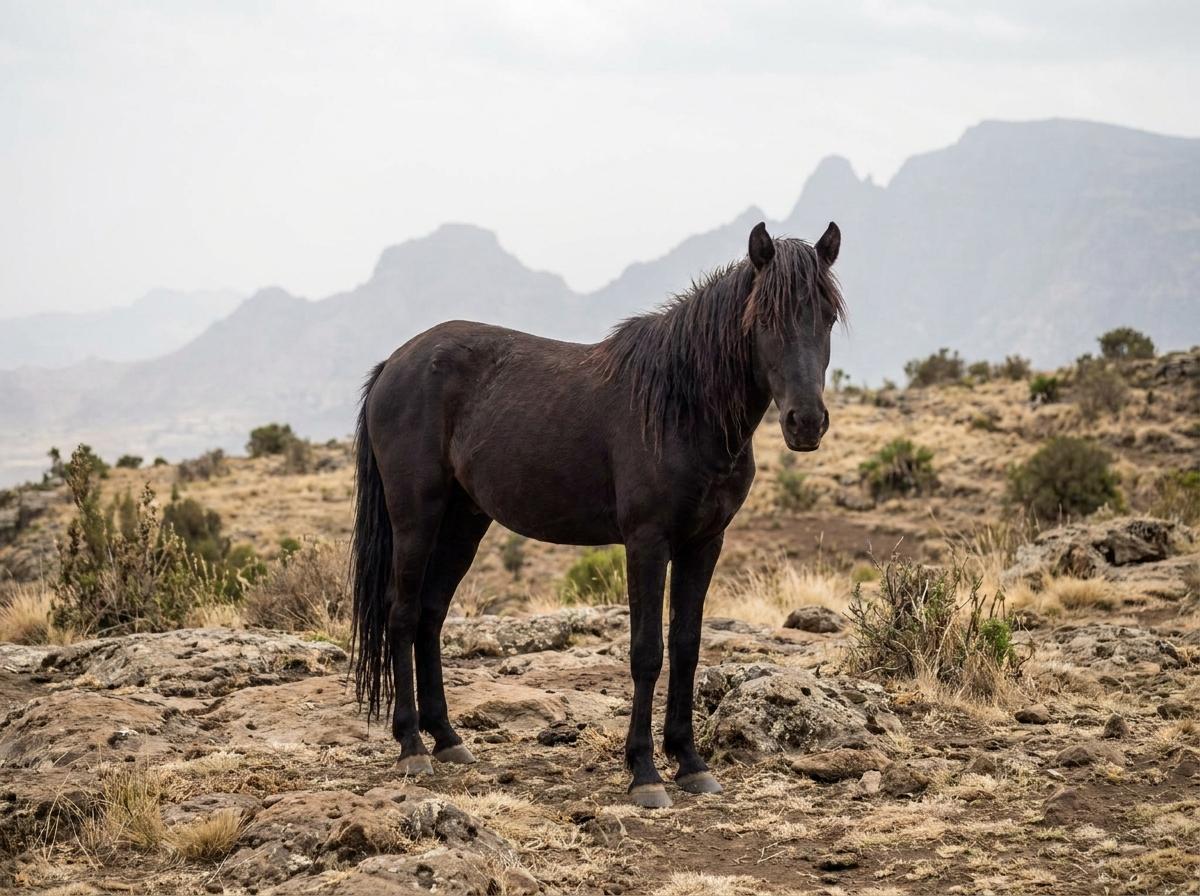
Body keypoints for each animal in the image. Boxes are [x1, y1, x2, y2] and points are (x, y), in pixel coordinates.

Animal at [351, 220, 844, 808]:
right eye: (764, 318)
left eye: (828, 315)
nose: (806, 423)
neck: (682, 406)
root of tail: (393, 364)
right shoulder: (647, 542)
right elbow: (647, 651)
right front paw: (645, 773)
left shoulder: (704, 543)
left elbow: (687, 646)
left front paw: (690, 762)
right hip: (416, 517)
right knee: (401, 615)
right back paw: (412, 747)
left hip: (463, 522)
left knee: (429, 615)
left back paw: (448, 739)